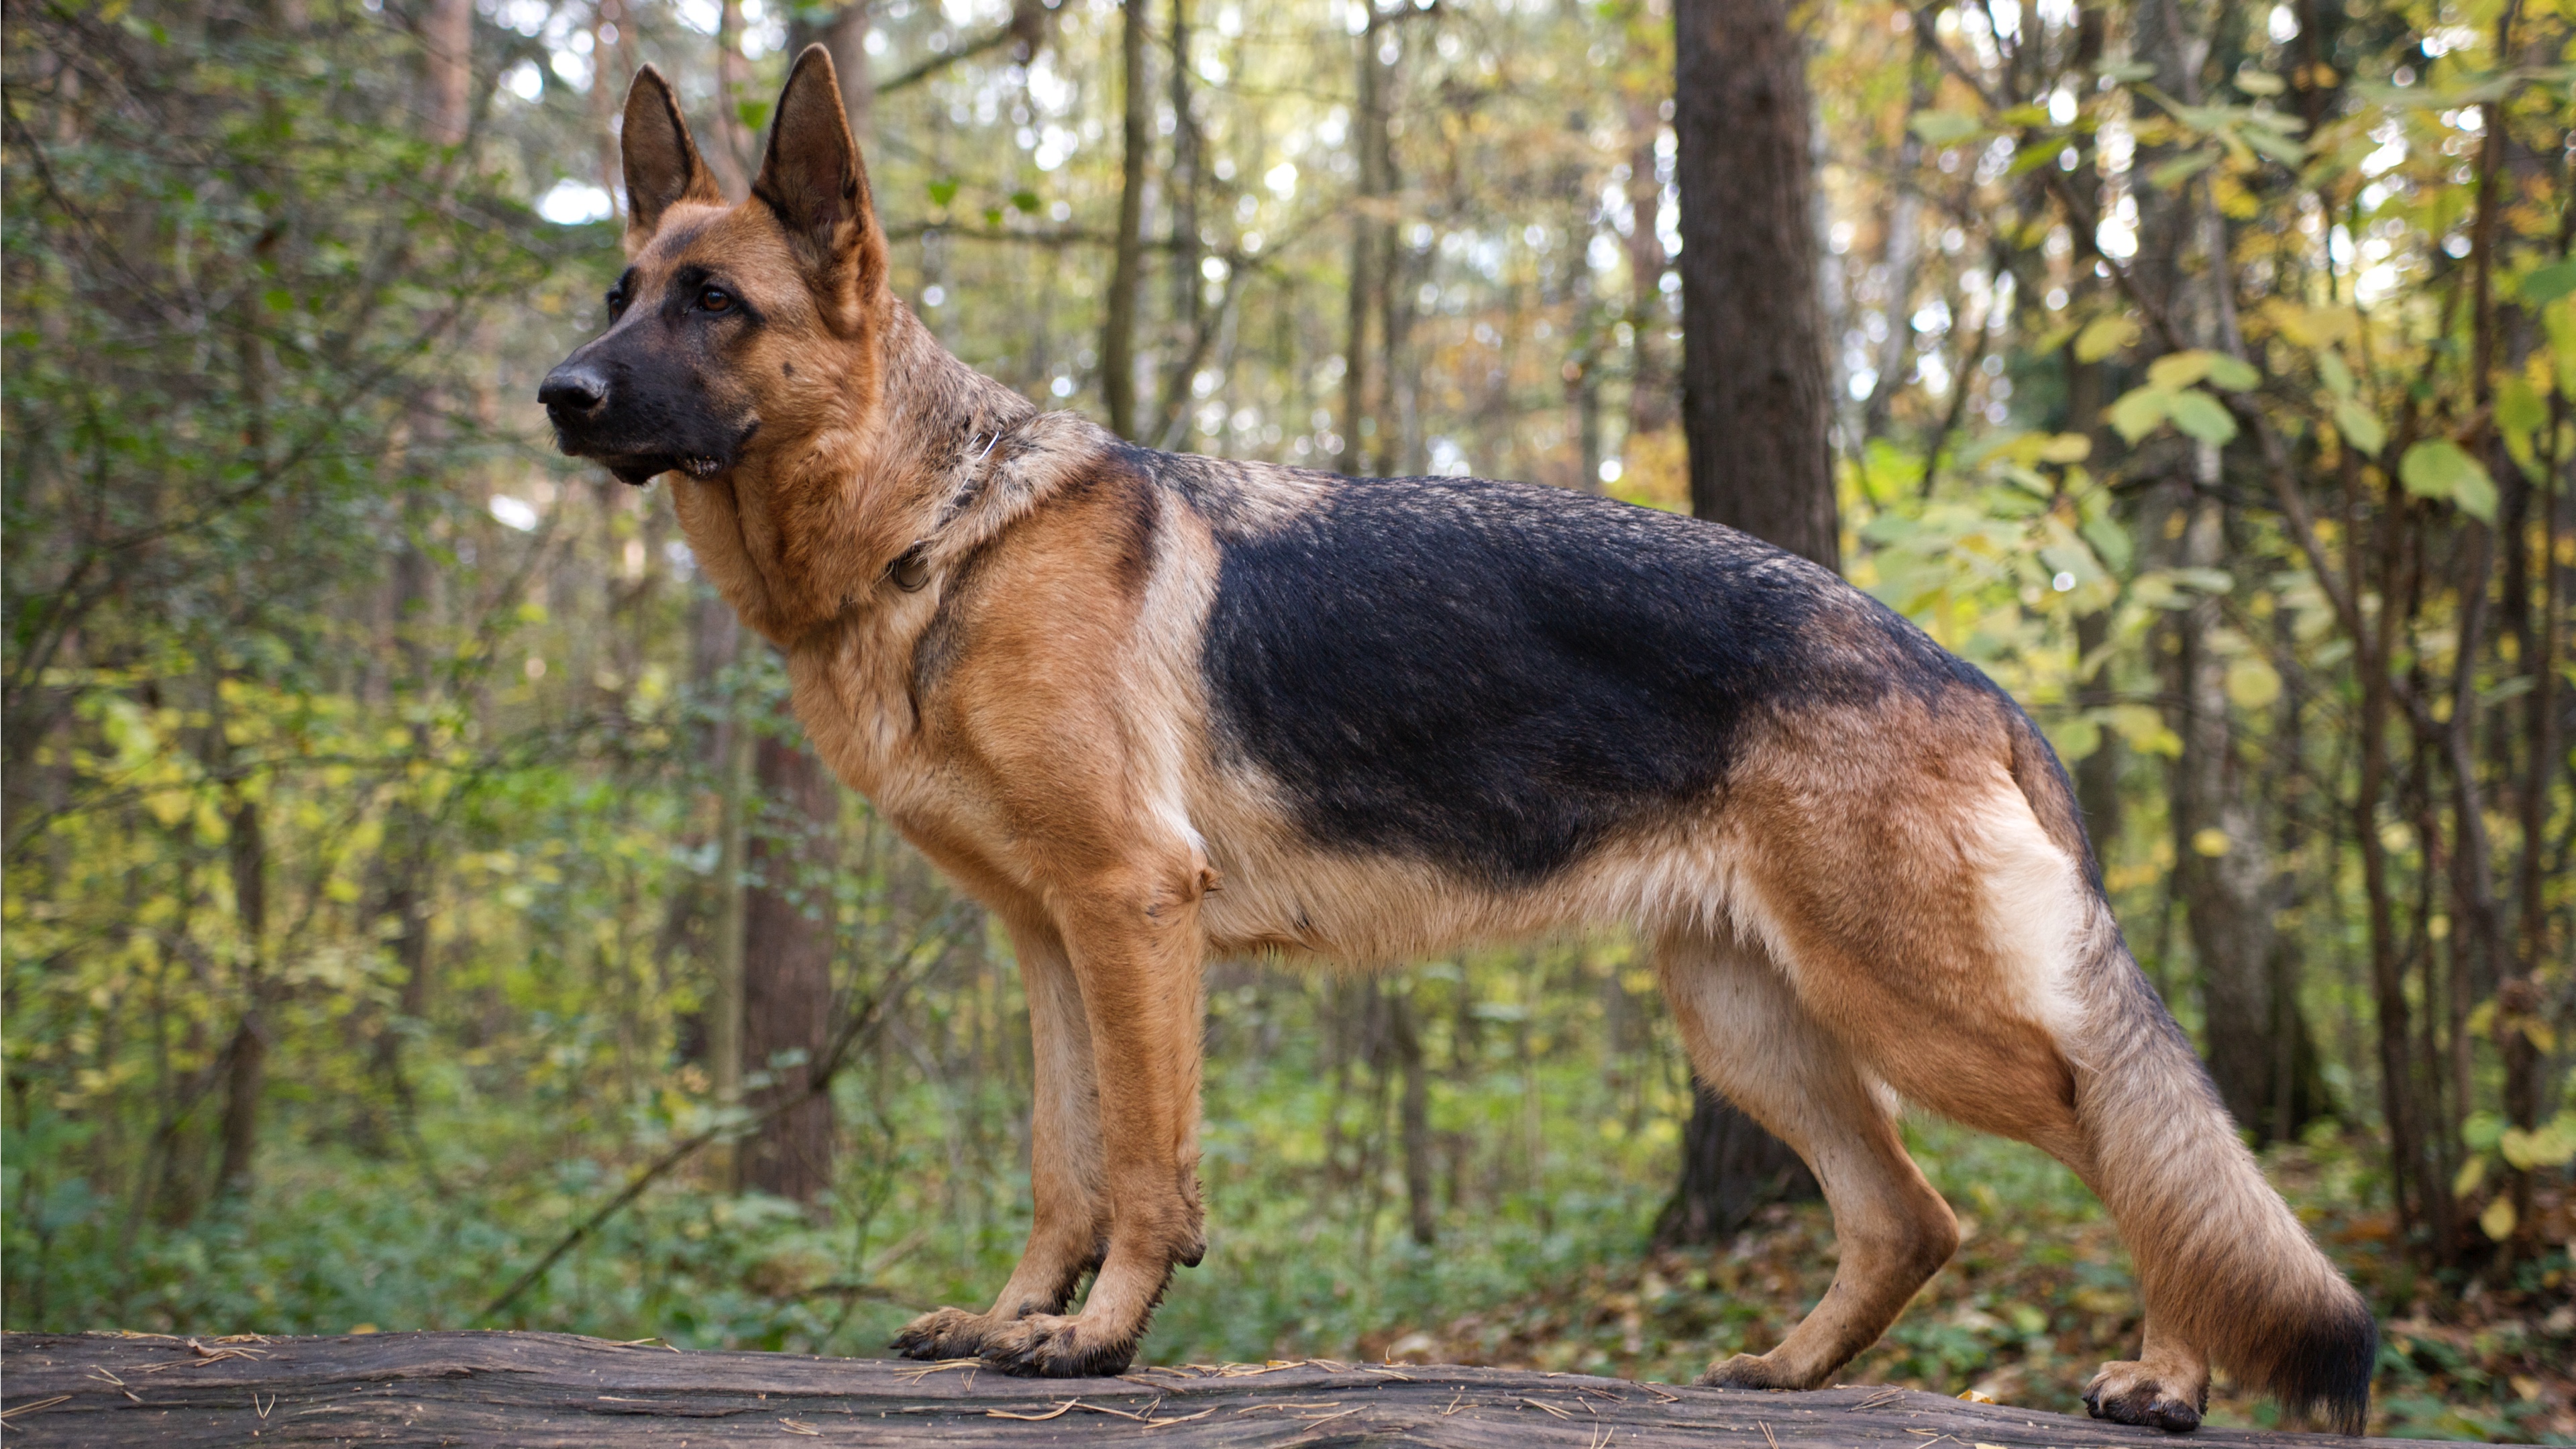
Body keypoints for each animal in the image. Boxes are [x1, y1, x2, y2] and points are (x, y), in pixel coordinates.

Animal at [538, 48, 2369, 1433]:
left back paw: (2163, 1372)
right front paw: (1013, 1317)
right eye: (621, 292)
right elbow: (1064, 1160)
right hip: (1747, 1022)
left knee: (2120, 1138)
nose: (559, 394)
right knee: (1909, 1213)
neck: (937, 527)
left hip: (1915, 1008)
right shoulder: (1052, 942)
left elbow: (1142, 1166)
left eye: (715, 302)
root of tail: (1965, 673)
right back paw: (1788, 1370)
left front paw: (1103, 1335)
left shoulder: (1130, 912)